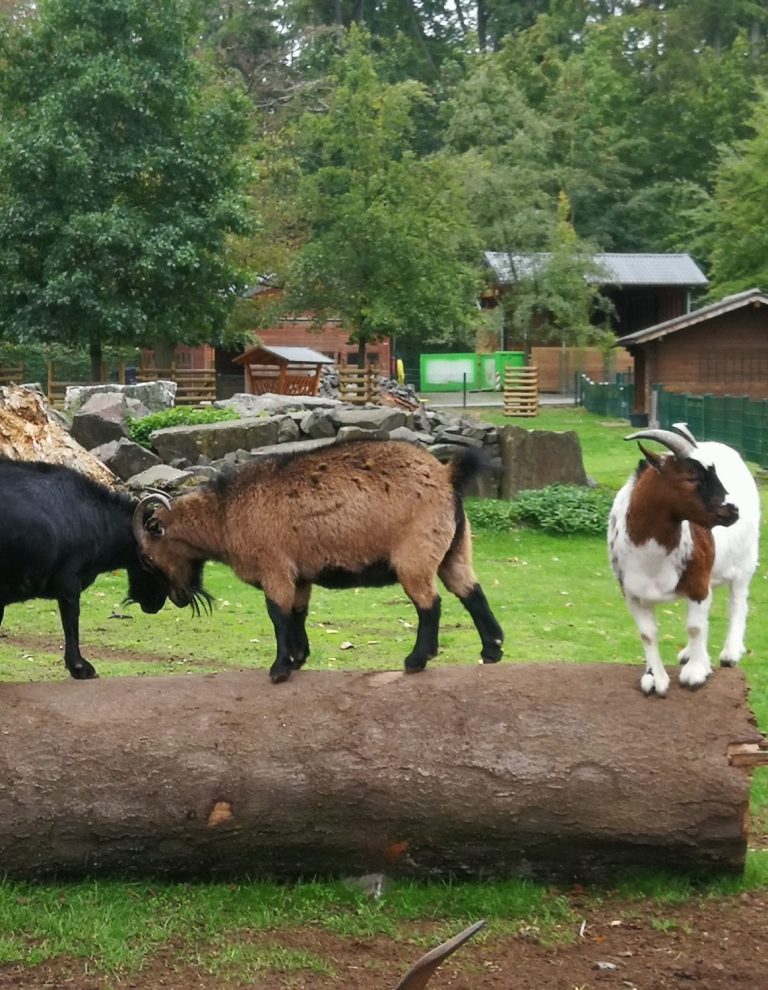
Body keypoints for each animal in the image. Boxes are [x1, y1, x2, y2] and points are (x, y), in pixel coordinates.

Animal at [132, 439, 504, 683]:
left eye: (148, 557)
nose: (177, 599)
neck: (225, 513)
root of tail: (446, 475)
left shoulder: (275, 567)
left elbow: (277, 614)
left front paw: (279, 669)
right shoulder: (300, 576)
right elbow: (297, 613)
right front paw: (298, 659)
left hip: (415, 555)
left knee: (430, 603)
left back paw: (416, 659)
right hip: (455, 550)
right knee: (471, 593)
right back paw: (492, 651)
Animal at [608, 424, 760, 696]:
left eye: (714, 474)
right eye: (691, 478)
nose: (733, 510)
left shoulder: (698, 583)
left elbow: (694, 627)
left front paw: (696, 674)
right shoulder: (632, 594)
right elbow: (647, 633)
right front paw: (655, 677)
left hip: (746, 561)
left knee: (737, 602)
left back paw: (730, 653)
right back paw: (691, 654)